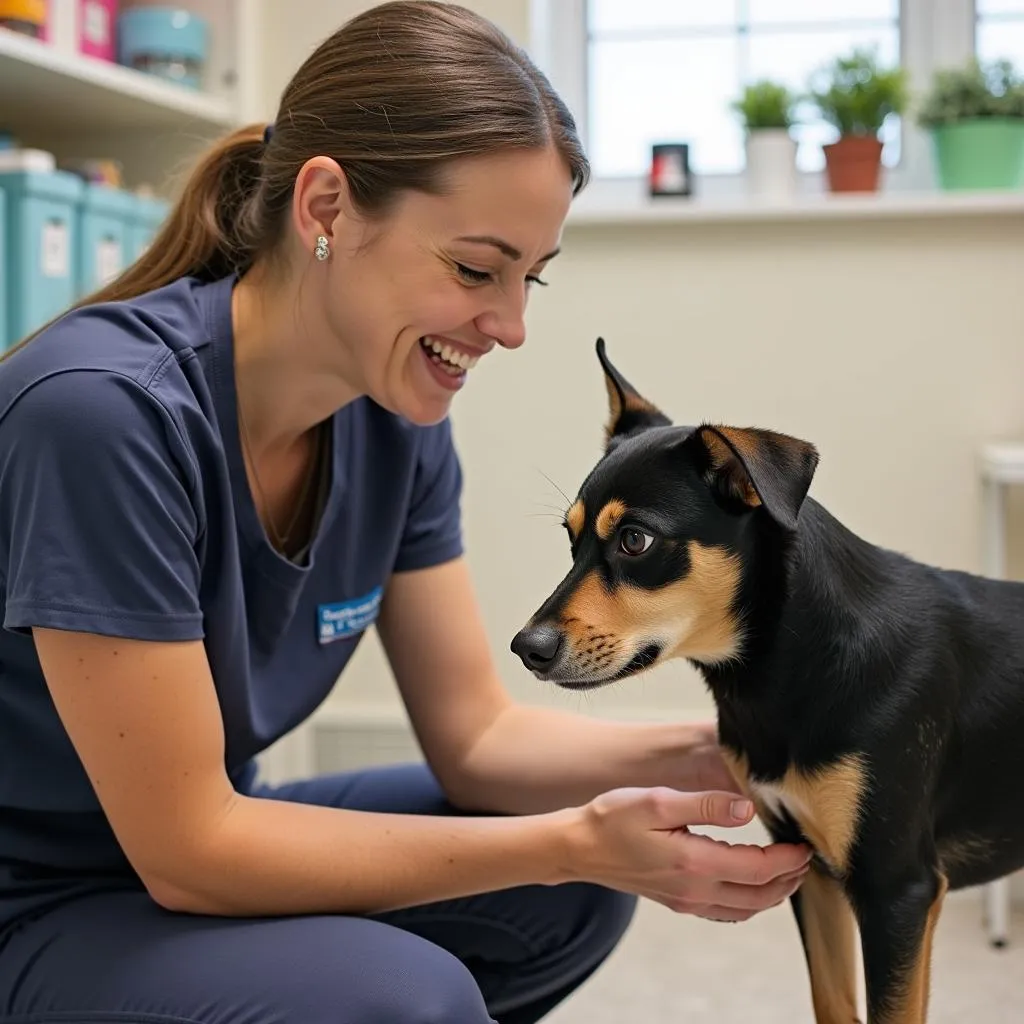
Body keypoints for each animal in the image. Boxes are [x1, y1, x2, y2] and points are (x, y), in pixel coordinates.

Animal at [509, 337, 1024, 1024]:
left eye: (635, 540)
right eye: (570, 540)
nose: (525, 648)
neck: (785, 670)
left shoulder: (898, 890)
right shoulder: (812, 866)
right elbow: (832, 1002)